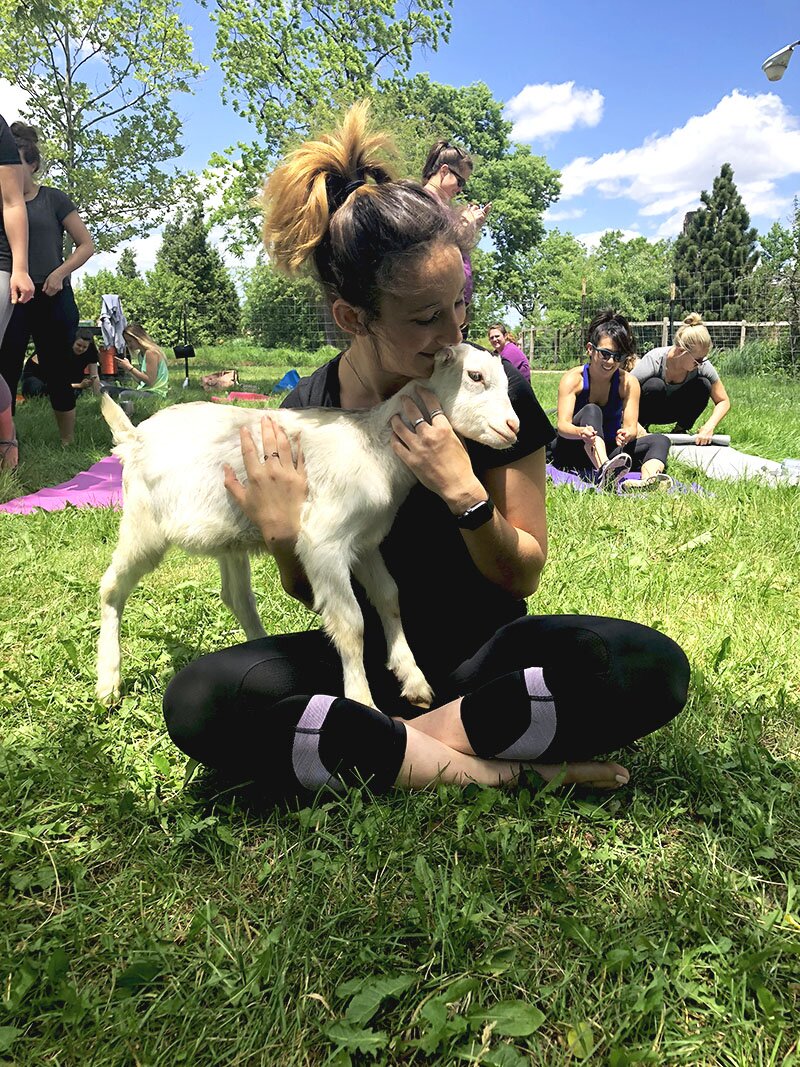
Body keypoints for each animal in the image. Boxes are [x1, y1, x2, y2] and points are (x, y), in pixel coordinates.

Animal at [97, 341, 520, 708]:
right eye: (475, 376)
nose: (513, 426)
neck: (374, 447)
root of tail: (133, 438)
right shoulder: (324, 542)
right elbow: (351, 622)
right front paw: (363, 701)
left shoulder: (365, 542)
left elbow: (389, 596)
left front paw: (412, 679)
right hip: (143, 523)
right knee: (112, 586)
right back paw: (107, 683)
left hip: (228, 534)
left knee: (237, 597)